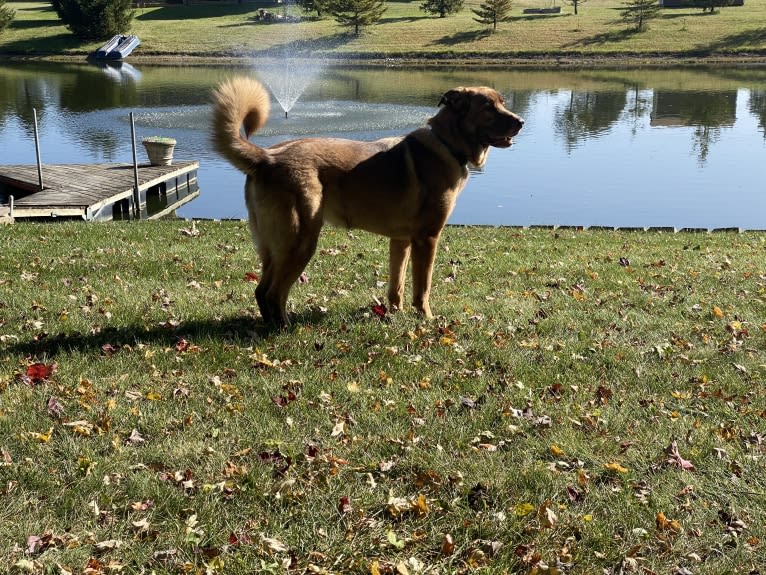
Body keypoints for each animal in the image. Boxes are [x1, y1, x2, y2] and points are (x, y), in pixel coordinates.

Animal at [212, 77, 520, 326]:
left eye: (502, 102)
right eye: (488, 106)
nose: (521, 122)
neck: (447, 143)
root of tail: (266, 157)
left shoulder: (401, 240)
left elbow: (396, 284)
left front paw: (395, 314)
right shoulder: (427, 238)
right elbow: (422, 287)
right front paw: (426, 318)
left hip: (273, 247)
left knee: (261, 290)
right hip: (300, 241)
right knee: (274, 293)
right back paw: (284, 328)